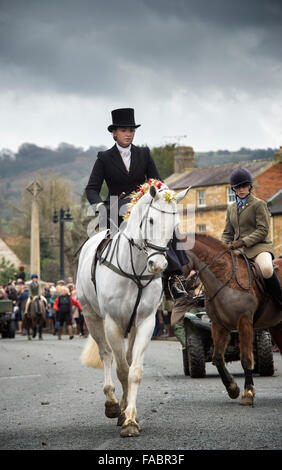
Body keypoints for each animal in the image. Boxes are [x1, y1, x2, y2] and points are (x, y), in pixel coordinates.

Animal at [184, 233, 280, 406]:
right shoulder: (218, 325)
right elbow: (217, 358)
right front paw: (232, 388)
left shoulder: (245, 322)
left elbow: (246, 358)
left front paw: (248, 392)